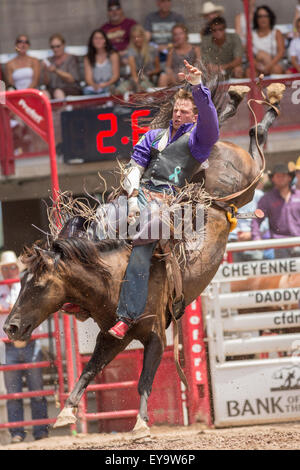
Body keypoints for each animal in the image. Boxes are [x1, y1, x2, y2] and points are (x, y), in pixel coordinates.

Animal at [2, 75, 286, 438]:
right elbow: (89, 370)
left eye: (37, 286)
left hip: (247, 180)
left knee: (245, 134)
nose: (10, 327)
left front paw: (140, 423)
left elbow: (144, 380)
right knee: (219, 127)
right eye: (22, 283)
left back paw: (263, 101)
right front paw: (65, 412)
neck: (114, 277)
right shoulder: (111, 337)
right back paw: (238, 97)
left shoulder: (156, 336)